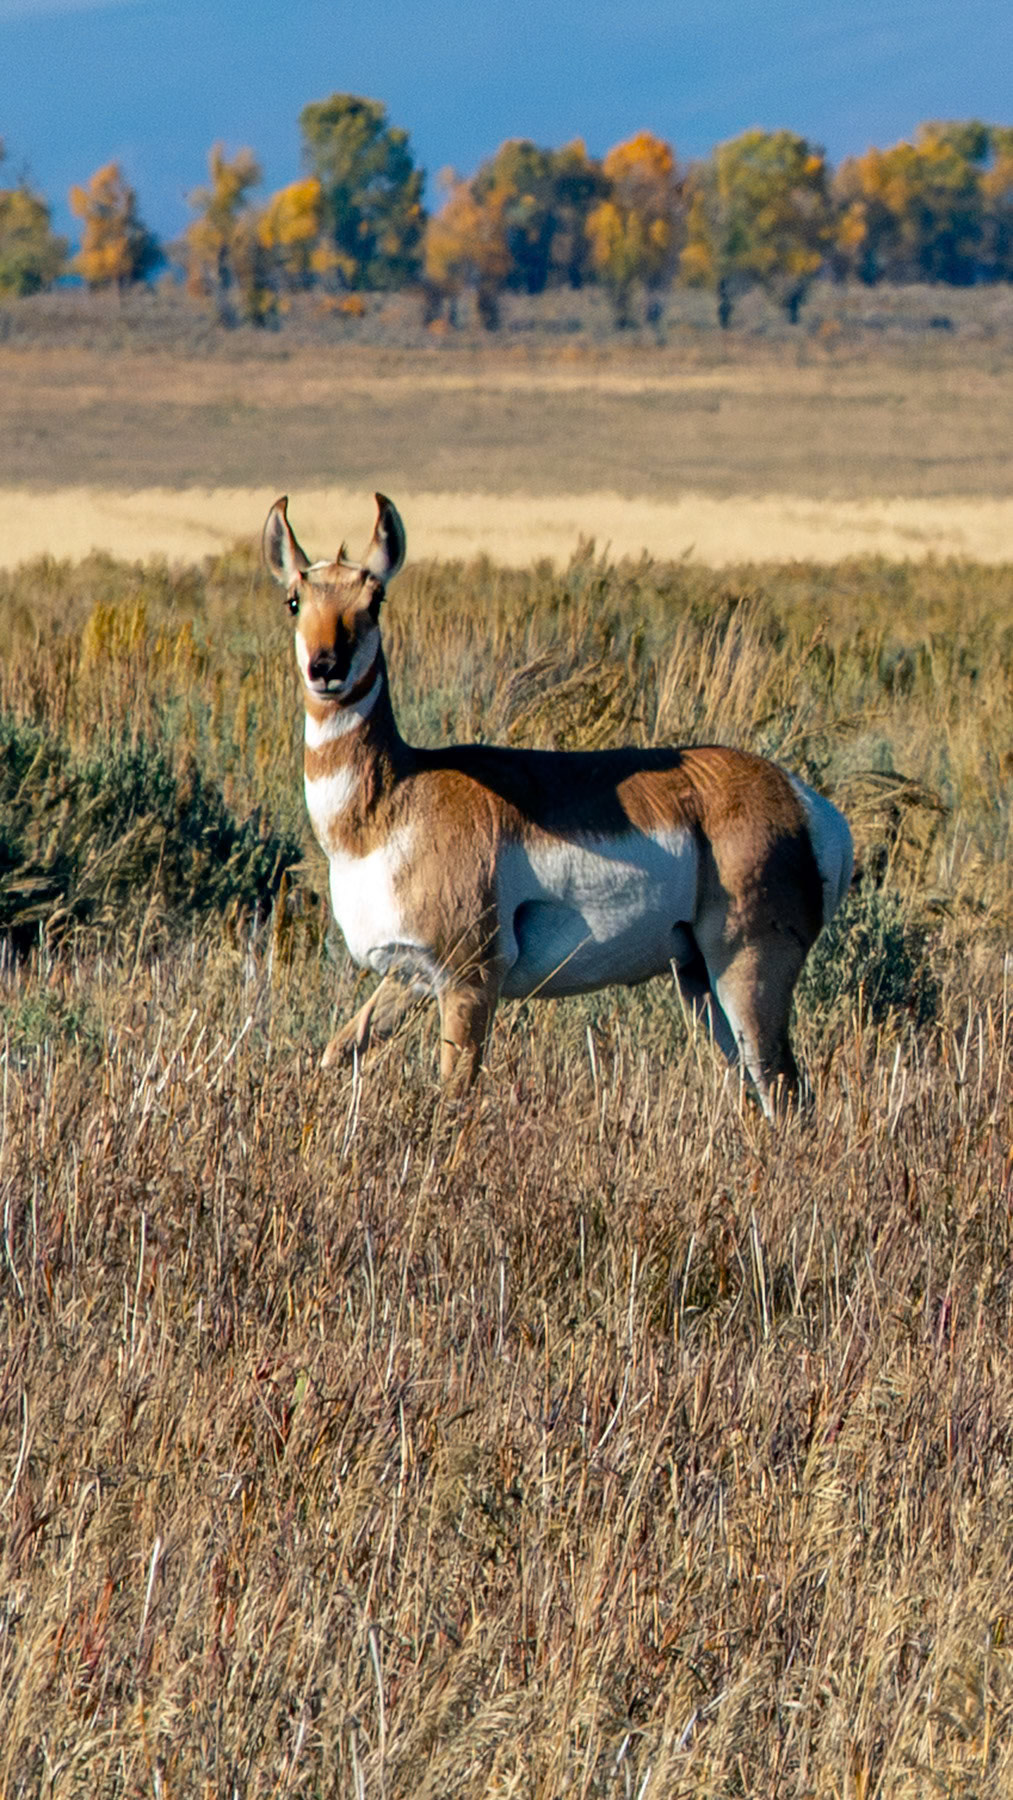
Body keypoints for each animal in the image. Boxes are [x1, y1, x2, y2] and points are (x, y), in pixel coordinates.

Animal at [264, 493, 853, 1117]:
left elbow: (456, 1095)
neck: (392, 800)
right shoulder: (410, 977)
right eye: (295, 598)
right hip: (699, 983)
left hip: (746, 973)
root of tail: (805, 803)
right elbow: (336, 1054)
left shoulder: (470, 980)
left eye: (374, 600)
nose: (326, 668)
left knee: (785, 1092)